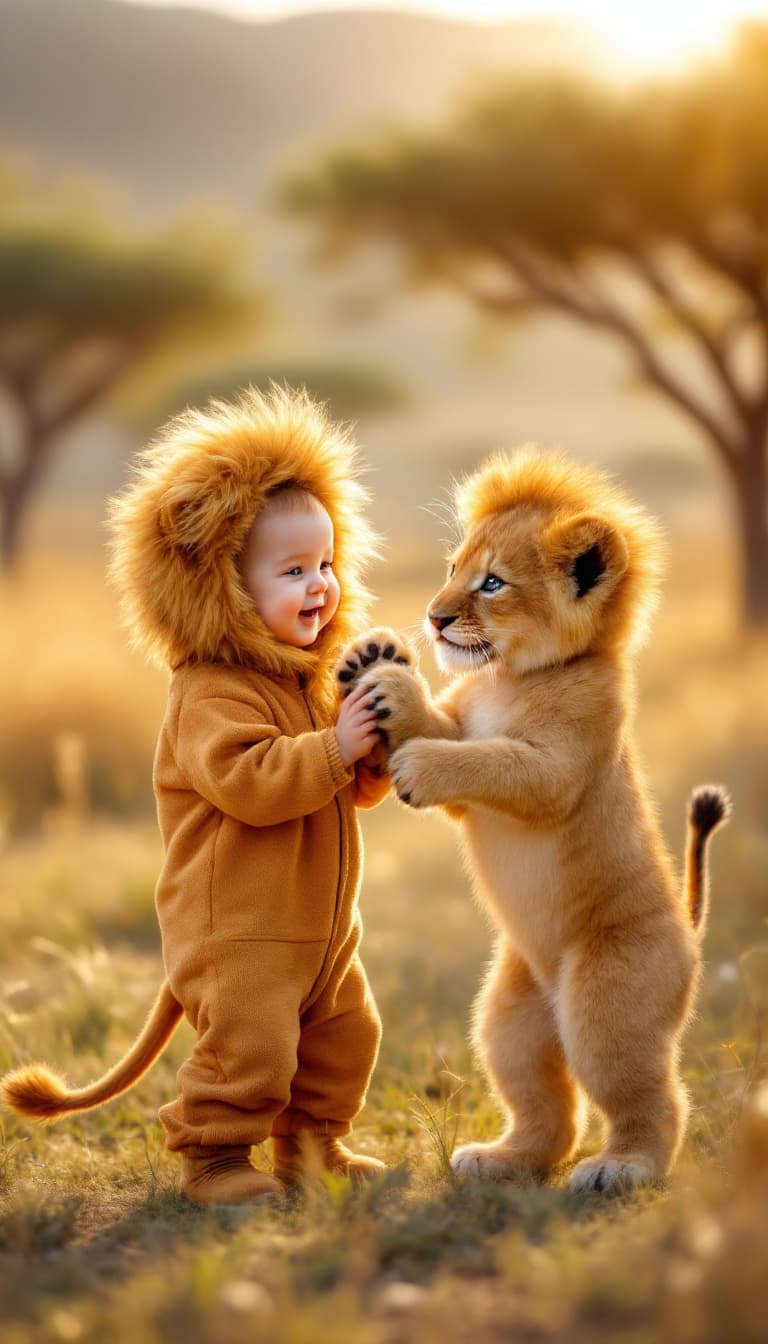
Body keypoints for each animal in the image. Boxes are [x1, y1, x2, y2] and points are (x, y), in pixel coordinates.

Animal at [338, 446, 730, 1194]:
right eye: (451, 569)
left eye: (492, 583)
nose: (433, 618)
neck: (510, 677)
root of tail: (693, 935)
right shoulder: (469, 719)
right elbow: (457, 735)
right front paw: (369, 663)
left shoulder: (558, 766)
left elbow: (492, 763)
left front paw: (406, 723)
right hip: (508, 1013)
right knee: (549, 1107)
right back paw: (500, 1159)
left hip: (609, 1002)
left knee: (654, 1097)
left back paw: (622, 1167)